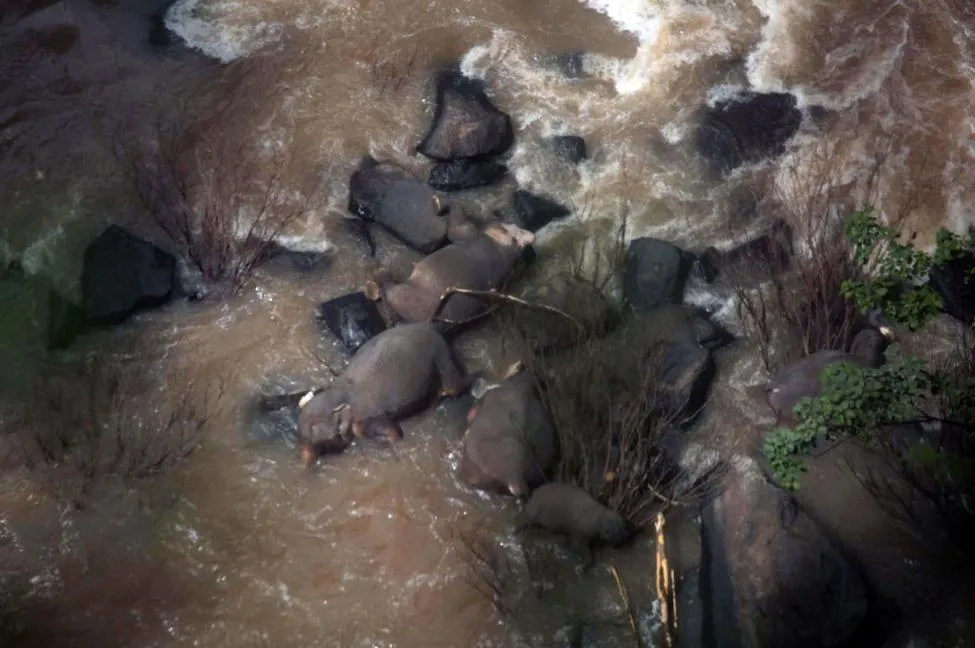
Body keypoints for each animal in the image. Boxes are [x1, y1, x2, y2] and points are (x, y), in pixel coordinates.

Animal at [296, 324, 468, 466]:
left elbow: (395, 434)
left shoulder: (370, 416)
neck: (340, 392)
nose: (306, 460)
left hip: (443, 358)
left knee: (456, 386)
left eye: (324, 442)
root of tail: (437, 328)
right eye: (301, 435)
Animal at [366, 220, 532, 326]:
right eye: (515, 226)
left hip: (403, 293)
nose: (529, 235)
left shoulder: (466, 232)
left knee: (388, 289)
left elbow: (456, 227)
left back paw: (378, 275)